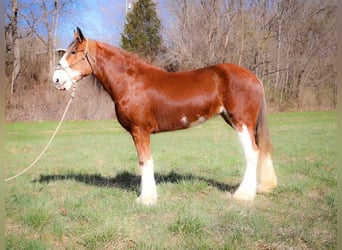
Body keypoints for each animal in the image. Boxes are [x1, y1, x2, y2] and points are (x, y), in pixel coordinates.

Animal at [52, 27, 278, 205]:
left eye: (74, 51)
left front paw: (146, 199)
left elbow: (145, 162)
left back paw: (244, 195)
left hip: (241, 122)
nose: (56, 79)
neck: (131, 81)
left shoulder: (140, 130)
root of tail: (253, 77)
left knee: (252, 152)